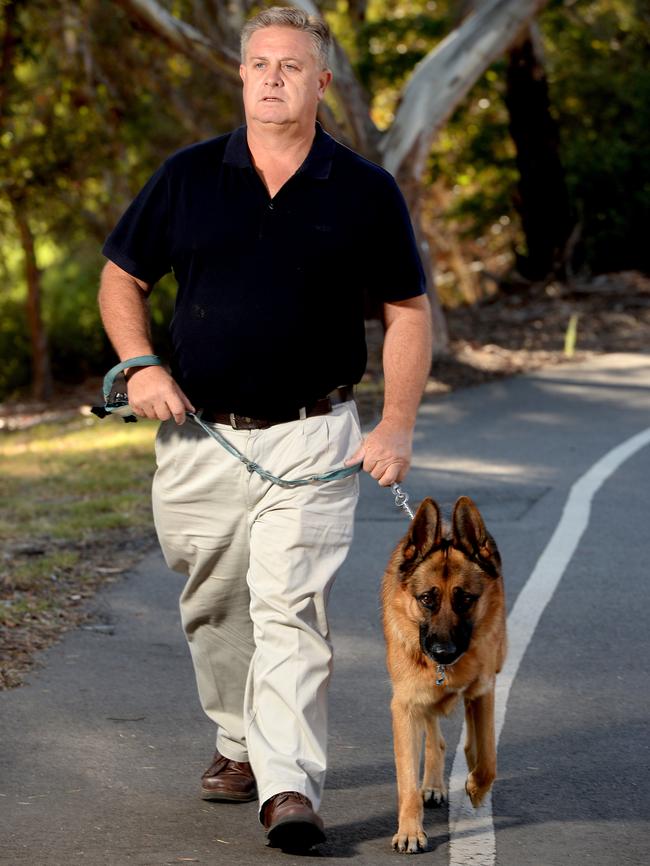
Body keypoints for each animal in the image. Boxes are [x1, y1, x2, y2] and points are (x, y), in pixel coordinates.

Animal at [380, 492, 506, 852]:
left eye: (465, 599)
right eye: (426, 599)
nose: (442, 653)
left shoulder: (484, 690)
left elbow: (488, 758)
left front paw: (476, 788)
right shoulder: (405, 706)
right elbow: (408, 781)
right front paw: (410, 831)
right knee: (434, 734)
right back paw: (434, 784)